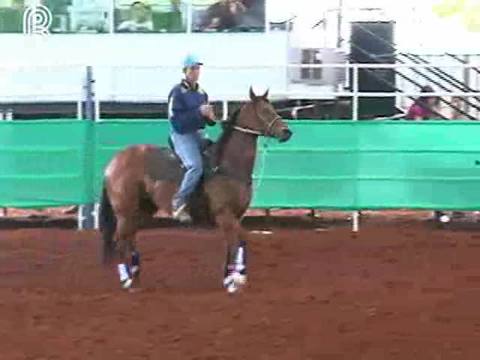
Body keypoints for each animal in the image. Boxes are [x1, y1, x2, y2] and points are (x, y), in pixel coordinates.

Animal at [99, 87, 292, 292]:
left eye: (272, 108)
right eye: (264, 111)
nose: (287, 132)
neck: (226, 166)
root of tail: (115, 161)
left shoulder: (236, 216)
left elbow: (234, 244)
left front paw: (230, 278)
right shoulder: (225, 215)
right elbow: (239, 241)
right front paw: (236, 279)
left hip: (142, 210)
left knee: (130, 238)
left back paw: (135, 277)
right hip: (125, 211)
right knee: (119, 240)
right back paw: (126, 279)